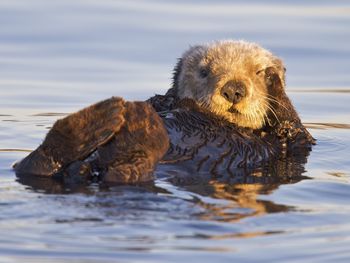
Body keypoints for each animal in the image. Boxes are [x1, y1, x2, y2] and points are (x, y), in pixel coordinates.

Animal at [13, 40, 316, 186]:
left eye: (256, 72)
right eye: (204, 71)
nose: (234, 89)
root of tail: (87, 170)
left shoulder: (293, 144)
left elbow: (293, 126)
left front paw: (274, 79)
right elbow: (162, 100)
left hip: (130, 168)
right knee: (34, 166)